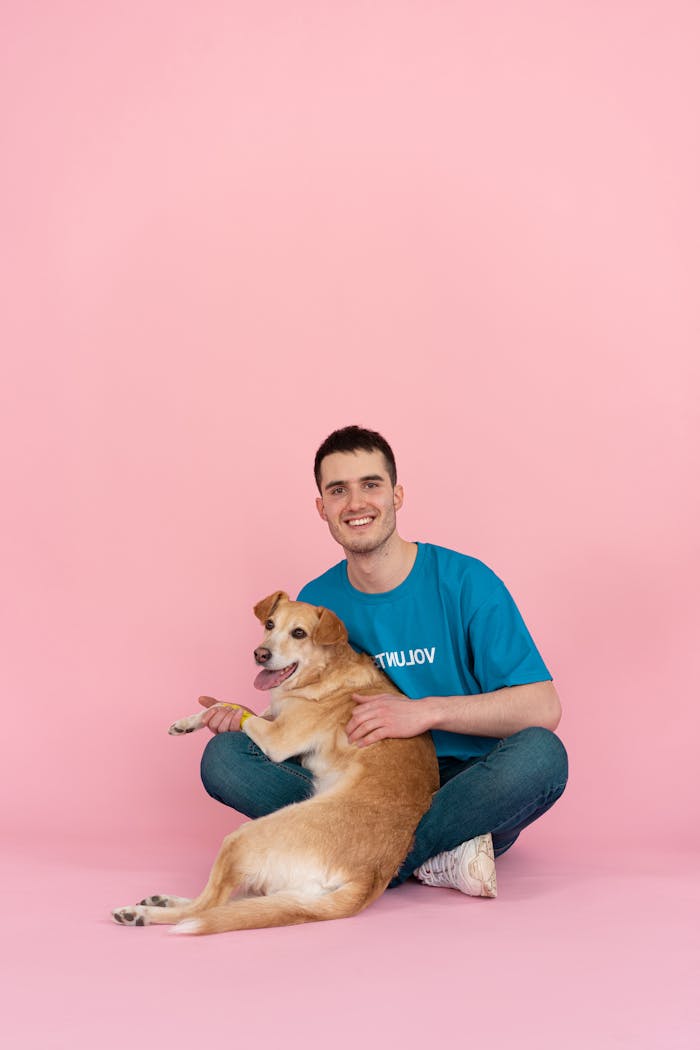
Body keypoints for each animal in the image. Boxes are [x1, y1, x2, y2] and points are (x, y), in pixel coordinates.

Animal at [110, 592, 438, 936]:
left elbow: (241, 712)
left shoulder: (278, 737)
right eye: (269, 624)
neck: (323, 673)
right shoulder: (272, 717)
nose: (260, 654)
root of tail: (370, 876)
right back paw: (163, 901)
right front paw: (187, 722)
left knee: (206, 907)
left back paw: (141, 914)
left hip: (241, 839)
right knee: (227, 903)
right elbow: (232, 705)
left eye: (299, 633)